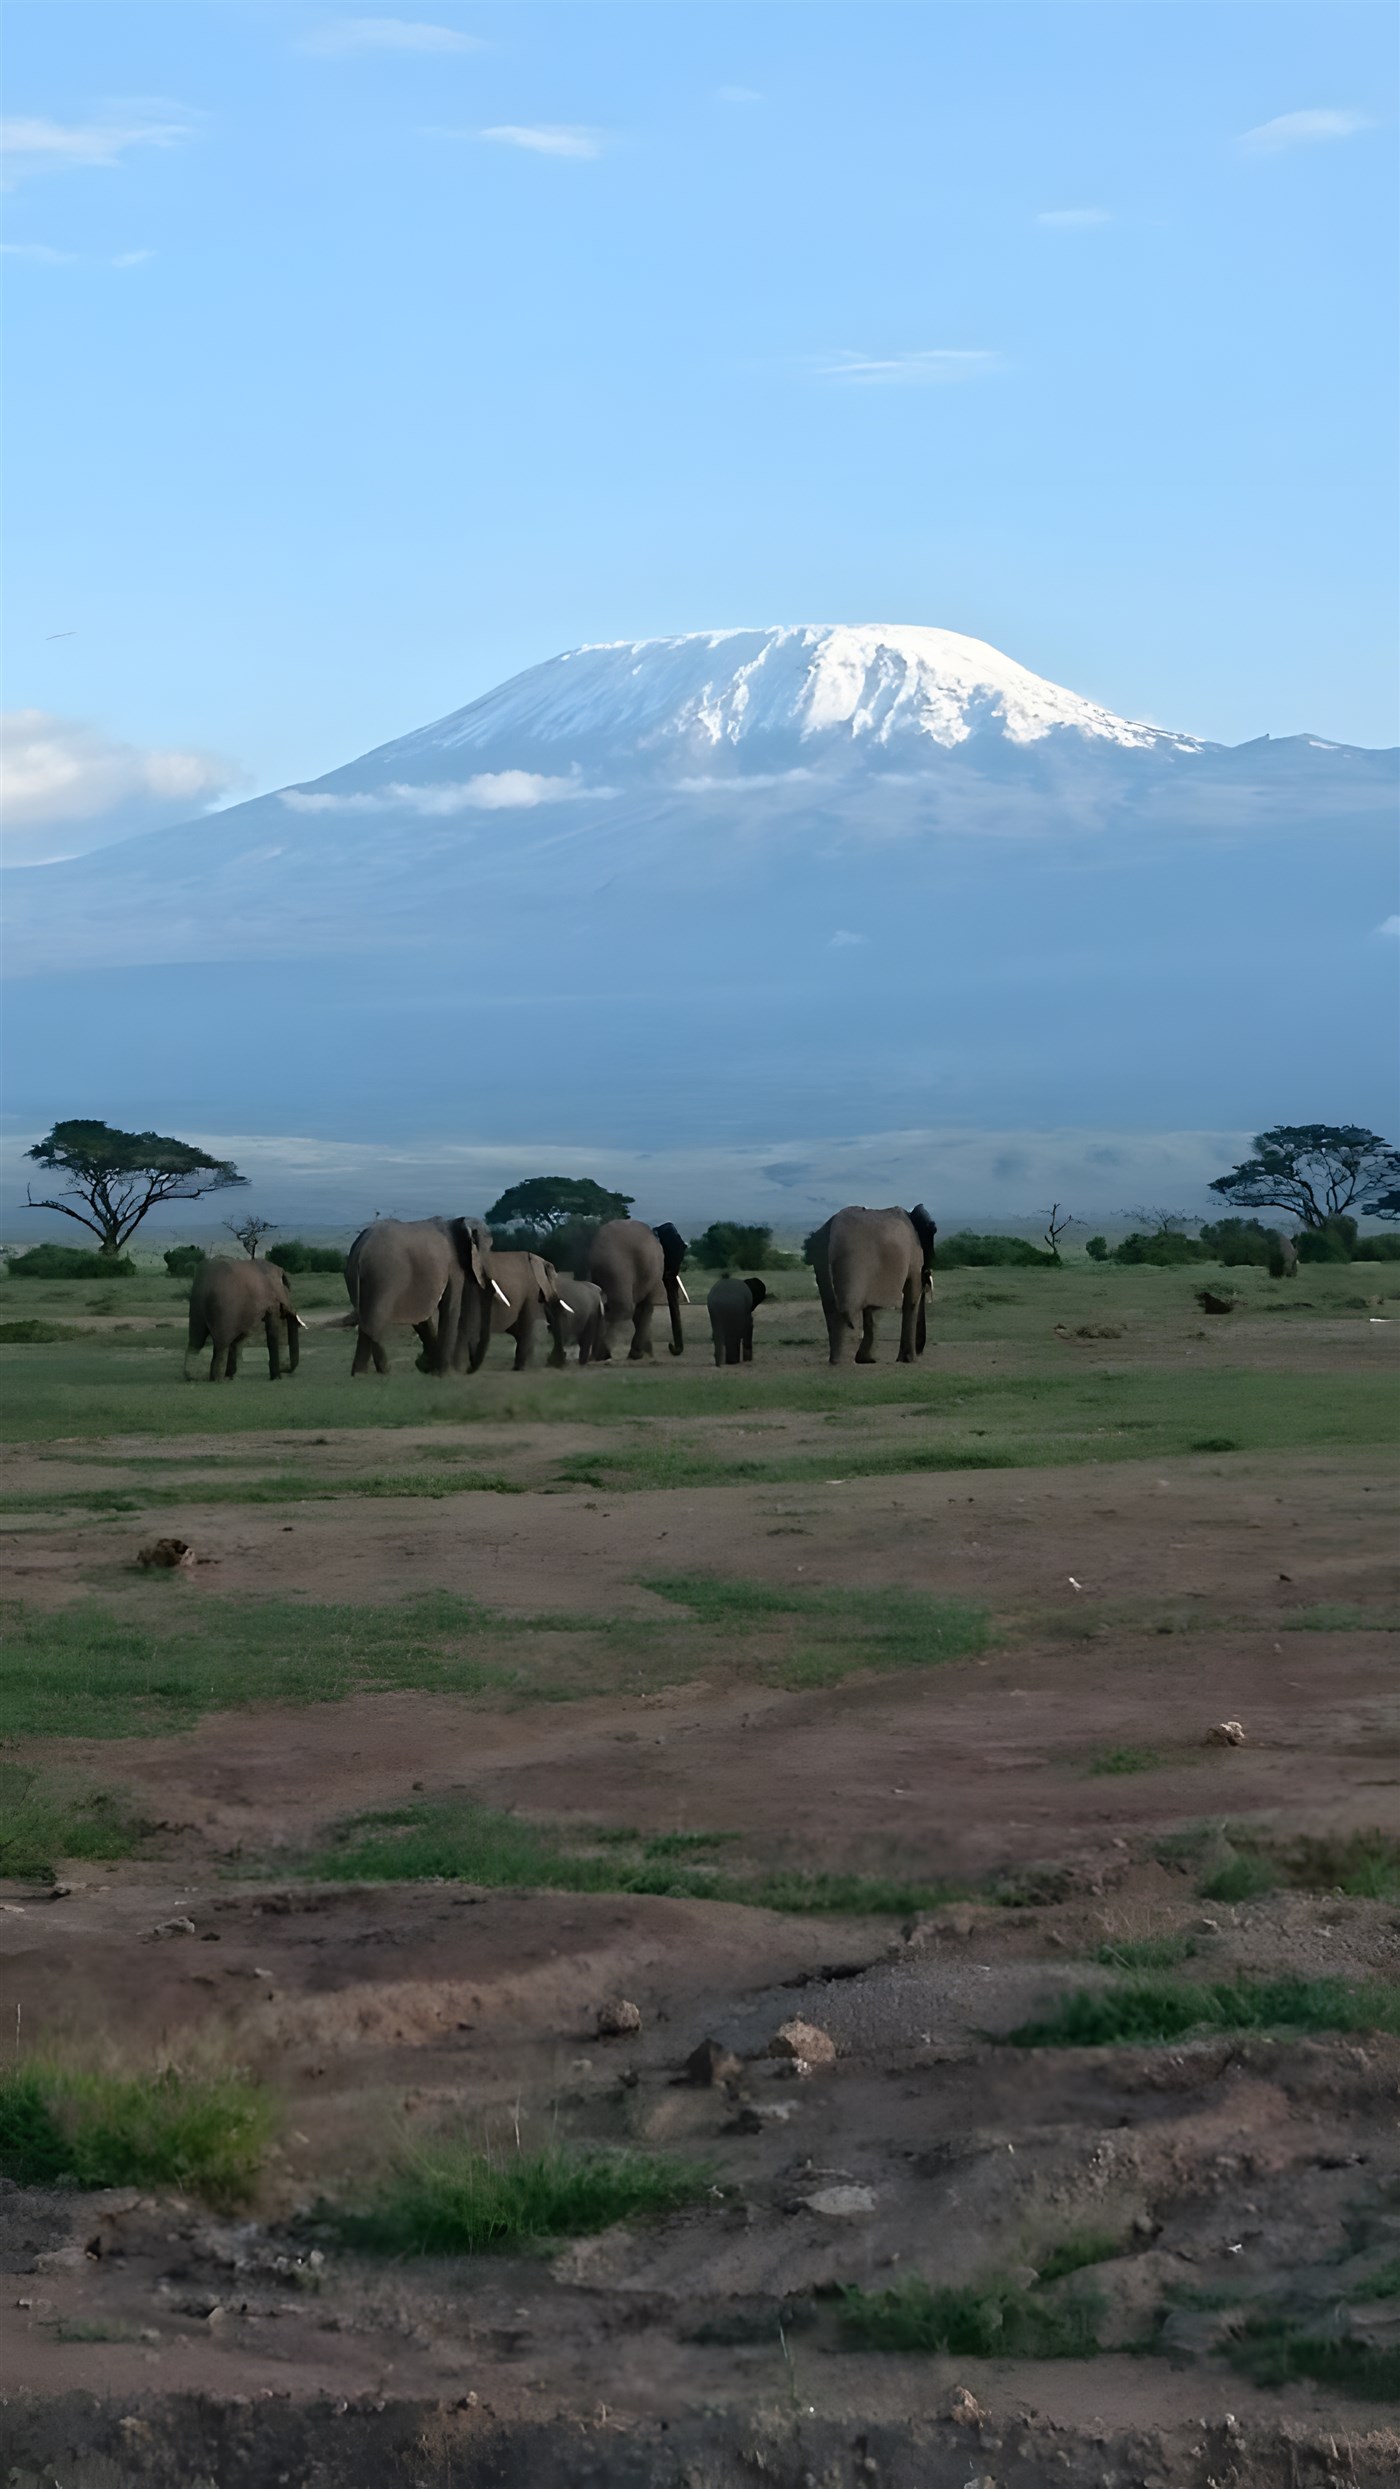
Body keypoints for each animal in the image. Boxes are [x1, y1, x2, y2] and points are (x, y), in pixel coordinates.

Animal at [342, 1216, 498, 1376]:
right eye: (487, 1249)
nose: (468, 1370)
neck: (457, 1222)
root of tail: (361, 1249)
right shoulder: (454, 1265)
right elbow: (451, 1308)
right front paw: (442, 1374)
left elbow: (423, 1318)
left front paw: (428, 1366)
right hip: (383, 1277)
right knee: (374, 1322)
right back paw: (385, 1371)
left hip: (359, 1277)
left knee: (365, 1321)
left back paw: (359, 1374)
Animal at [587, 1219, 689, 1361]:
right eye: (669, 1266)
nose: (670, 1345)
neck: (657, 1229)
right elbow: (646, 1307)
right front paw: (637, 1354)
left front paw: (644, 1353)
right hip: (617, 1270)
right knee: (623, 1309)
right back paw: (602, 1355)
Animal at [809, 1203, 937, 1365]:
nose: (920, 1352)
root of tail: (831, 1230)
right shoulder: (915, 1258)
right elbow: (912, 1298)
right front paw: (909, 1361)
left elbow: (873, 1308)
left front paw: (867, 1360)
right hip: (852, 1263)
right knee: (850, 1312)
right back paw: (845, 1362)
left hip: (822, 1259)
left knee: (832, 1309)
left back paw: (837, 1361)